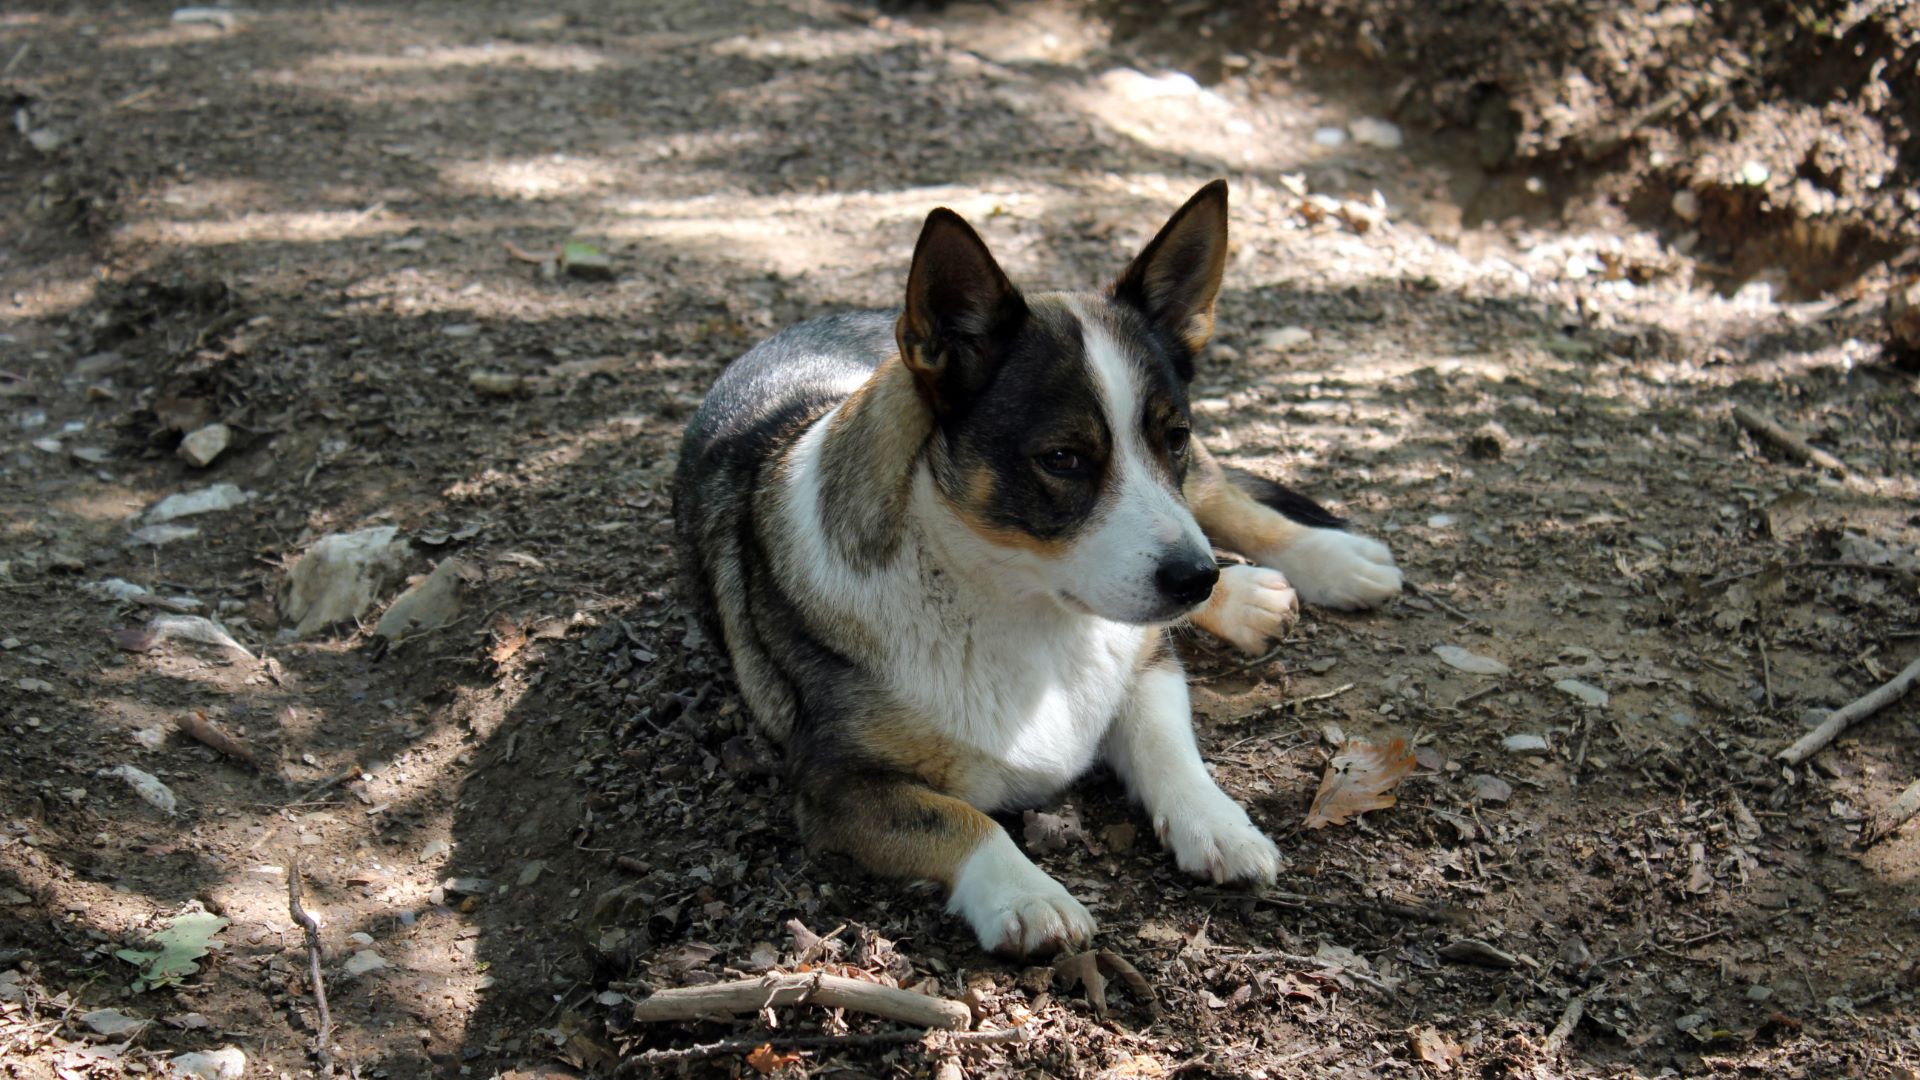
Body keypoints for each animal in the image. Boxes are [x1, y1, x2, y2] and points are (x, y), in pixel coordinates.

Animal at [672, 182, 1397, 949]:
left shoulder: (1147, 666)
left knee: (1224, 500)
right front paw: (1027, 894)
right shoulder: (837, 785)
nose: (1196, 579)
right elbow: (962, 819)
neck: (1015, 602)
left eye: (1173, 436)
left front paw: (1219, 823)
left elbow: (1173, 752)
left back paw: (1326, 565)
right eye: (1063, 458)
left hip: (1199, 503)